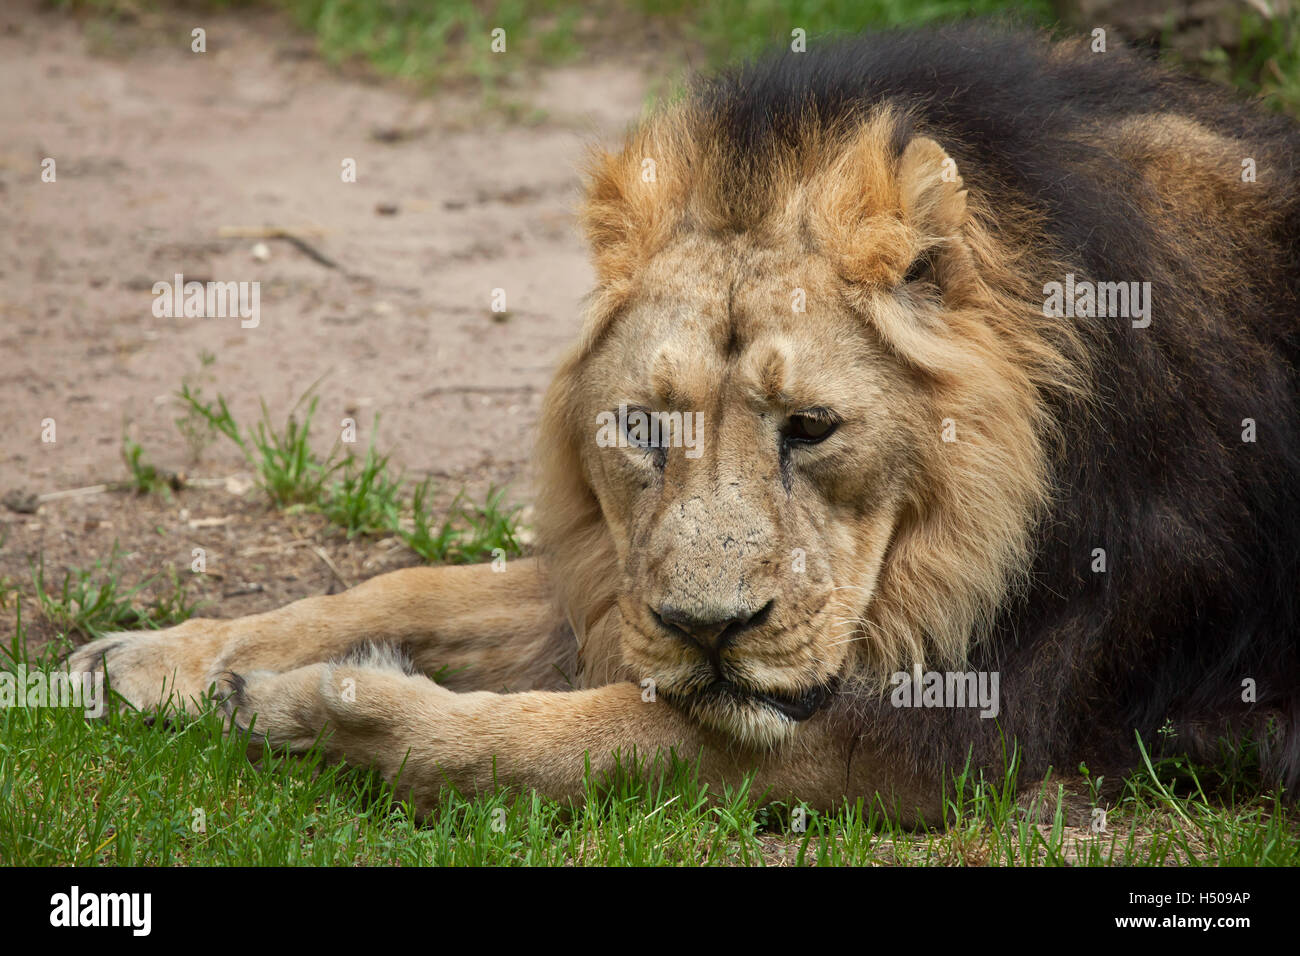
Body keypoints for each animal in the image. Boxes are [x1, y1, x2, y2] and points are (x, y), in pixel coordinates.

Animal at [63, 26, 1300, 827]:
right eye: (639, 428)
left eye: (811, 426)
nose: (710, 629)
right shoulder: (622, 581)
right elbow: (410, 585)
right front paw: (161, 657)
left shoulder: (943, 734)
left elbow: (560, 738)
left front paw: (319, 708)